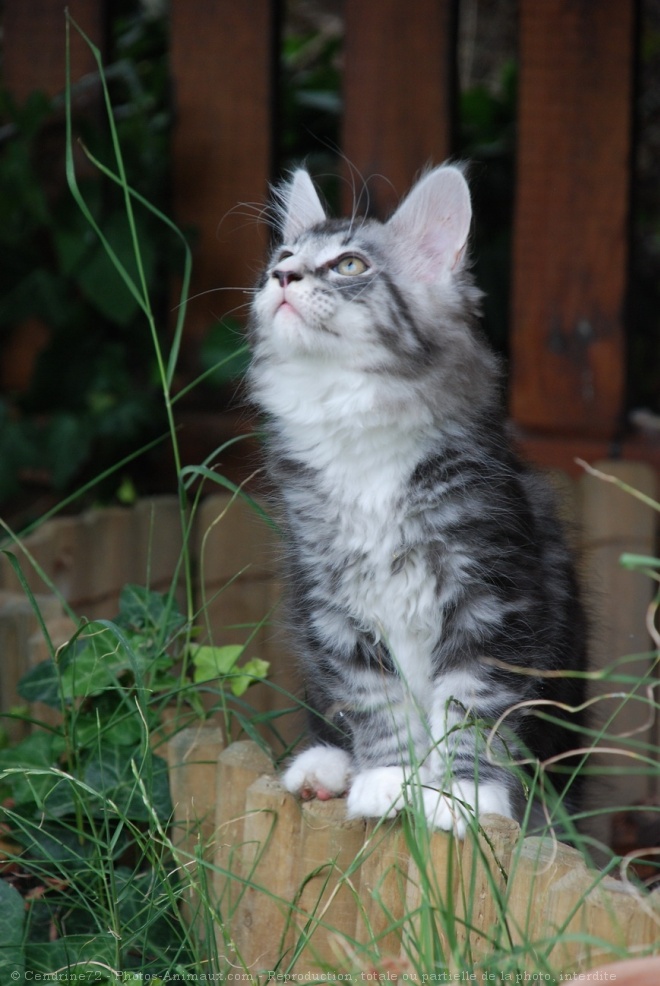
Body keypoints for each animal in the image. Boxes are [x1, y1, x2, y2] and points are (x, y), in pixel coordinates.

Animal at [246, 167, 584, 832]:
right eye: (283, 257)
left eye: (349, 265)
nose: (282, 278)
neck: (360, 437)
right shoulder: (333, 606)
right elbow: (375, 701)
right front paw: (387, 783)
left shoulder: (493, 599)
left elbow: (472, 706)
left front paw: (462, 797)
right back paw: (326, 769)